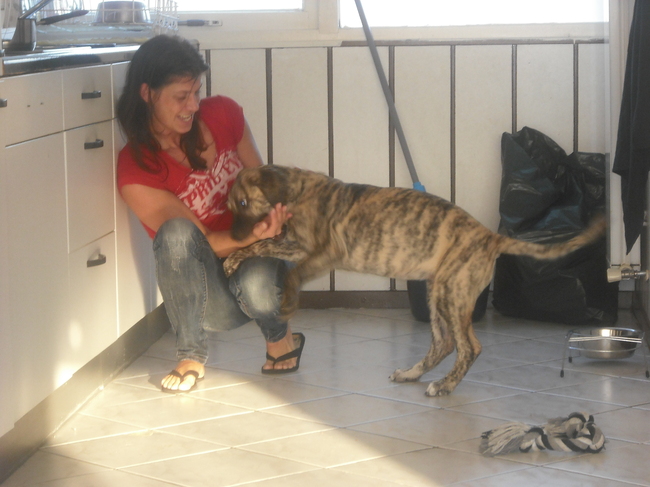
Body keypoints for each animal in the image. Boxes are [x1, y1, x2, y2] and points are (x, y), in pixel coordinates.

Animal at [224, 165, 606, 396]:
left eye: (242, 202)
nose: (229, 237)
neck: (298, 191)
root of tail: (490, 237)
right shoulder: (296, 244)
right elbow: (264, 244)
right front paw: (234, 258)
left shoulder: (324, 252)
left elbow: (294, 274)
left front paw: (288, 301)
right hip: (438, 292)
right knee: (443, 344)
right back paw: (412, 374)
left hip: (453, 292)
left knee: (469, 347)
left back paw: (444, 386)